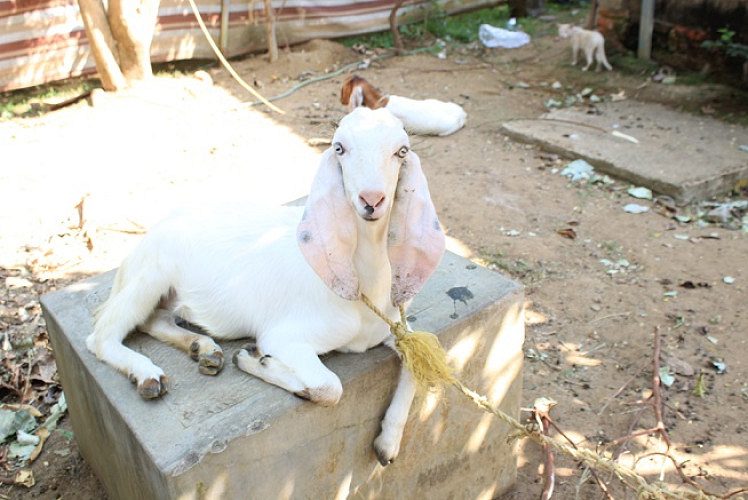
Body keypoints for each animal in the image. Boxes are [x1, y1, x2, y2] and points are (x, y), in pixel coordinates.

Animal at [86, 107, 446, 465]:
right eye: (339, 147)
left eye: (402, 151)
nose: (371, 199)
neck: (363, 291)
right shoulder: (284, 336)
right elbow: (330, 388)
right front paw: (256, 360)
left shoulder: (393, 329)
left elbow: (420, 362)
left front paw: (388, 444)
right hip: (149, 276)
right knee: (102, 335)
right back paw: (149, 375)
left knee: (152, 320)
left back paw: (202, 349)